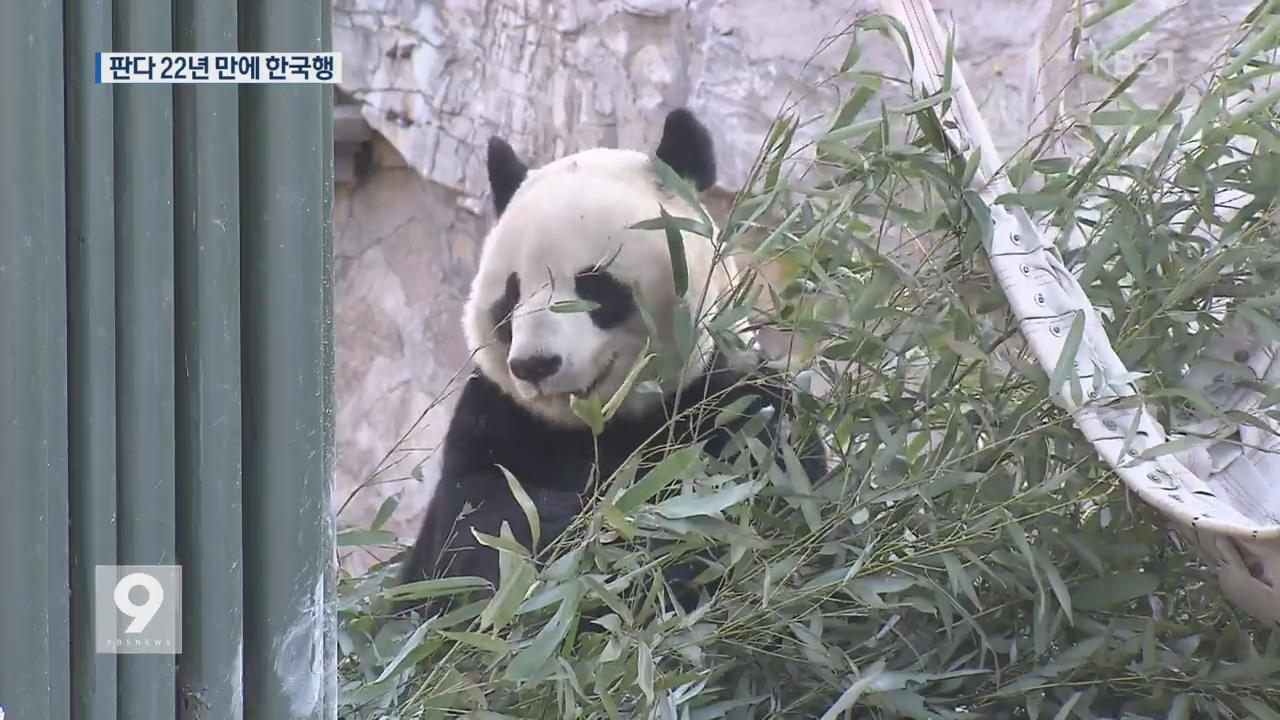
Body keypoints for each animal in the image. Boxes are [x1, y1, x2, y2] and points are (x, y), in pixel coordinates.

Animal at [394, 109, 824, 614]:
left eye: (594, 284)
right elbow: (477, 528)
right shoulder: (497, 418)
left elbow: (730, 517)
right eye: (511, 295)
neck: (599, 424)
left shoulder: (737, 406)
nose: (535, 365)